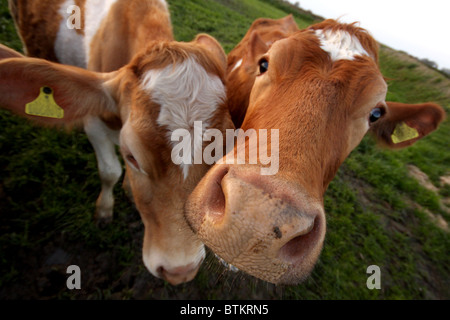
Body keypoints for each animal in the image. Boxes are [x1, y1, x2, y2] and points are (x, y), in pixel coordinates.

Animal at [2, 0, 236, 284]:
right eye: (132, 156)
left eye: (222, 151)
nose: (180, 270)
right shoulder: (93, 121)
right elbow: (110, 171)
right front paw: (104, 210)